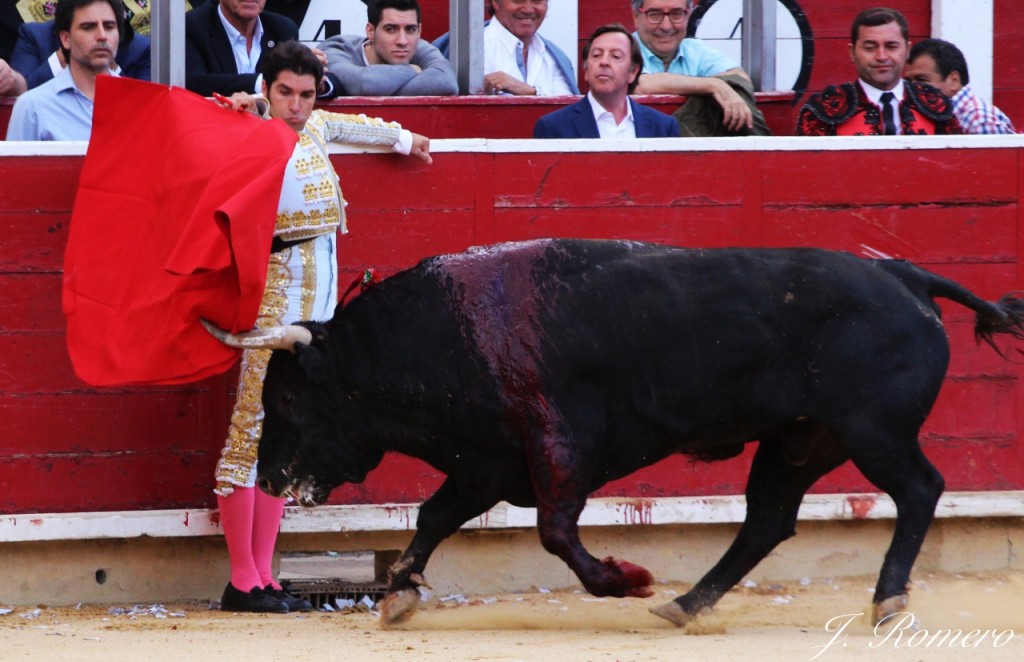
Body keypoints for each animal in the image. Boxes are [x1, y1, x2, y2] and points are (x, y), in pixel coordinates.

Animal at [209, 239, 1024, 627]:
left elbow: (553, 531)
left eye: (291, 400)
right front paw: (401, 593)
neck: (448, 332)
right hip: (800, 440)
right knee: (767, 520)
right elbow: (435, 516)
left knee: (920, 489)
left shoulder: (557, 447)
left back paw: (887, 600)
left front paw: (623, 579)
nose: (270, 479)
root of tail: (908, 278)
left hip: (871, 431)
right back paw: (687, 604)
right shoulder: (485, 460)